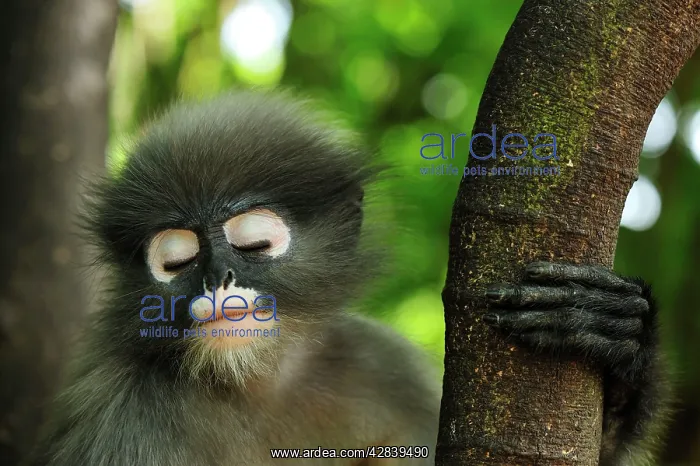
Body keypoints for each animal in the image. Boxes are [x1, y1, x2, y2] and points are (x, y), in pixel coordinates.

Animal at [24, 90, 668, 466]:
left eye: (253, 244)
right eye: (177, 261)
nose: (217, 278)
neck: (256, 383)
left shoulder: (377, 365)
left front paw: (610, 332)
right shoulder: (121, 417)